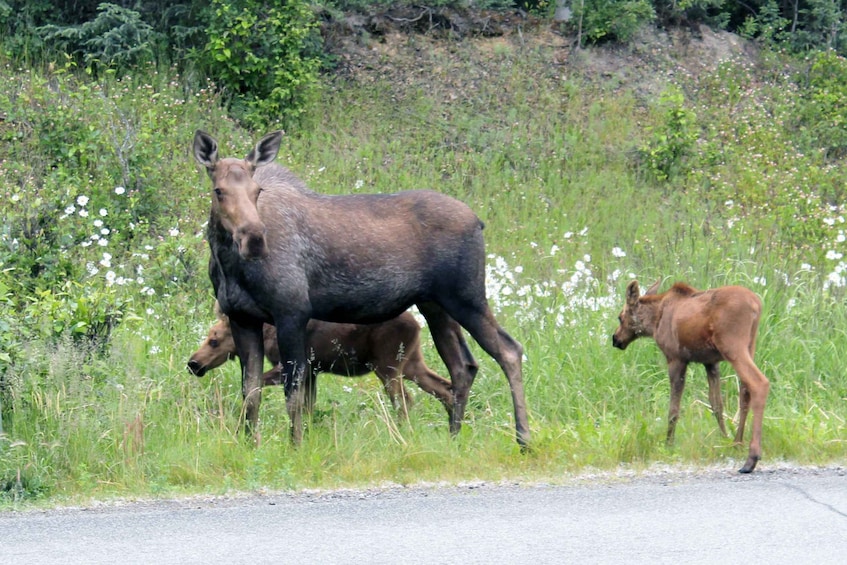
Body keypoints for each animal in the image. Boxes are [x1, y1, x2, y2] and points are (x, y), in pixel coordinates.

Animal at [187, 304, 458, 418]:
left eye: (213, 340)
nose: (193, 363)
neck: (267, 334)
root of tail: (418, 324)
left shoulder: (292, 365)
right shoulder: (312, 371)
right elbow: (308, 406)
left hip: (387, 364)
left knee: (405, 400)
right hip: (412, 362)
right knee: (444, 387)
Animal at [612, 278, 772, 472]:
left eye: (620, 317)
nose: (615, 339)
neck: (654, 321)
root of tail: (756, 305)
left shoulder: (676, 359)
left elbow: (673, 409)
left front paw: (668, 444)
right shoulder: (711, 362)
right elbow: (716, 404)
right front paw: (724, 438)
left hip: (733, 346)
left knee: (758, 383)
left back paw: (752, 458)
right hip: (750, 345)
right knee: (745, 391)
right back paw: (737, 442)